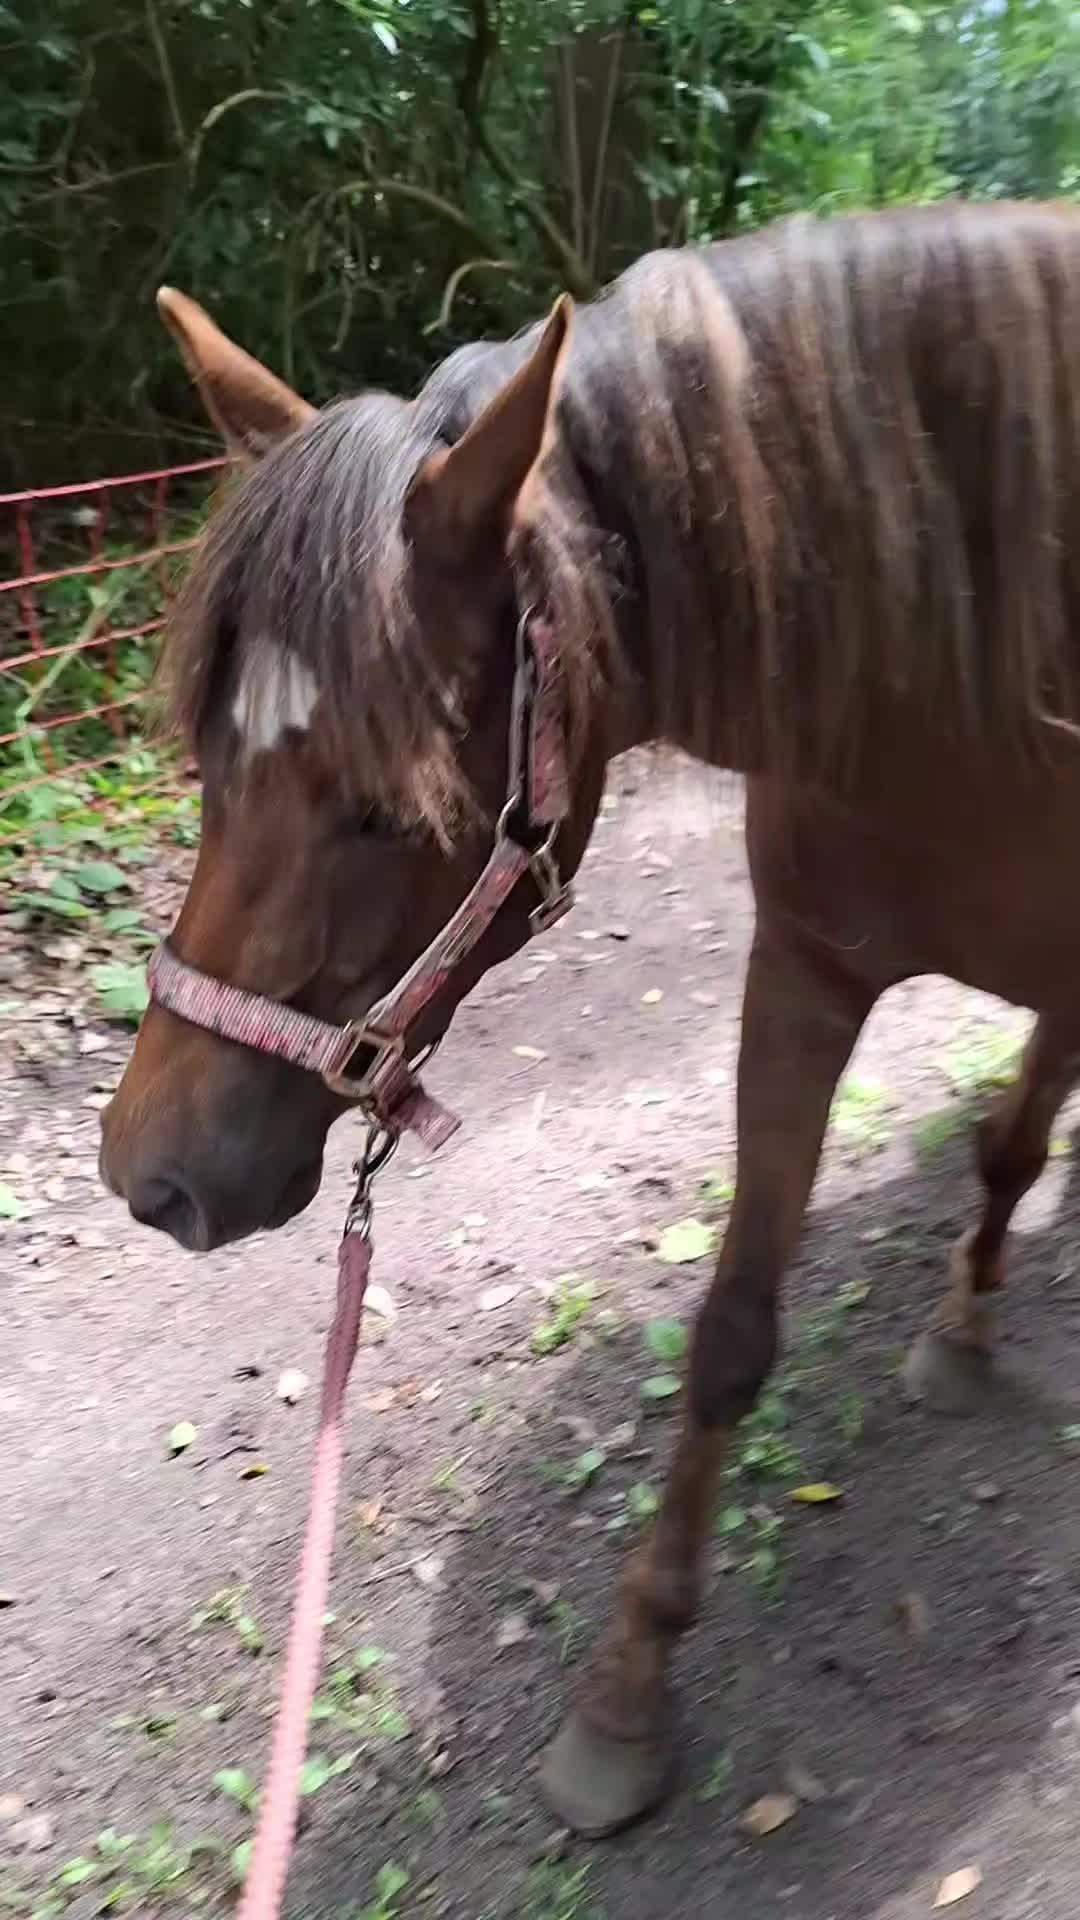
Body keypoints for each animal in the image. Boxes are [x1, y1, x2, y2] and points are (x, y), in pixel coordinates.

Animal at [101, 200, 1080, 1838]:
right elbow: (734, 1332)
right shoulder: (805, 971)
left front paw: (966, 1318)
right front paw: (625, 1697)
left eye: (388, 812)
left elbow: (1013, 1143)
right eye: (209, 765)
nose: (145, 1173)